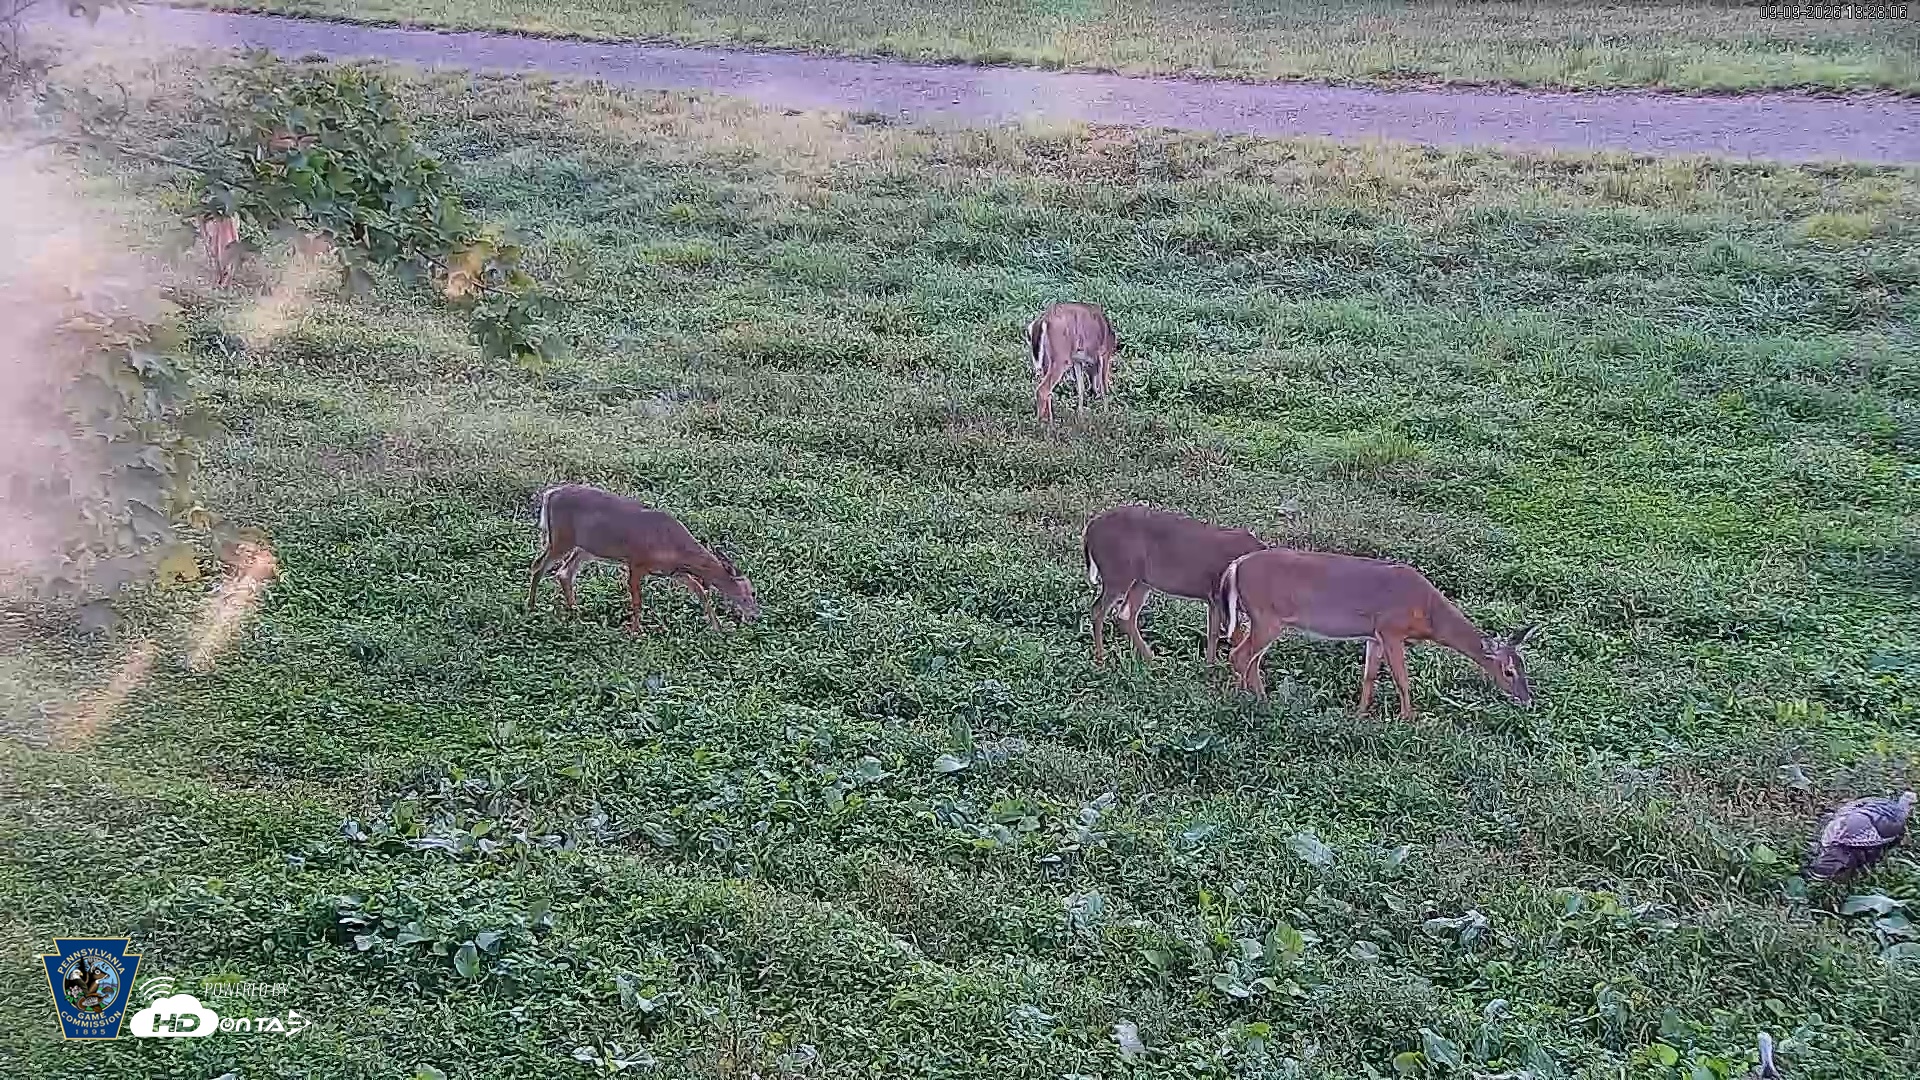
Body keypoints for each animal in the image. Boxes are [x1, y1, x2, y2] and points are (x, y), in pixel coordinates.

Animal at [526, 484, 760, 633]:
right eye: (750, 593)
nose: (755, 615)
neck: (674, 545)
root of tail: (549, 495)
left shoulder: (674, 571)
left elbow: (700, 591)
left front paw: (717, 627)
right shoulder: (636, 563)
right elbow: (638, 600)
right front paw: (636, 632)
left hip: (585, 547)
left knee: (564, 573)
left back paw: (575, 612)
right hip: (561, 538)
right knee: (538, 566)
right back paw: (531, 607)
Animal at [1083, 503, 1266, 665]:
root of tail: (1089, 529)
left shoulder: (1213, 599)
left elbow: (1214, 633)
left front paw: (1210, 668)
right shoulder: (1219, 596)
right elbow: (1235, 637)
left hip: (1141, 580)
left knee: (1124, 616)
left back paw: (1151, 659)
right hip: (1117, 573)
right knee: (1098, 610)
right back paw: (1101, 660)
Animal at [1217, 547, 1537, 719]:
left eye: (1524, 666)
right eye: (1508, 671)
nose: (1527, 699)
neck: (1428, 613)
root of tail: (1234, 566)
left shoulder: (1375, 635)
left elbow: (1369, 676)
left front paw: (1360, 715)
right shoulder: (1392, 629)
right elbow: (1402, 679)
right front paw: (1409, 719)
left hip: (1262, 619)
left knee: (1251, 658)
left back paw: (1261, 699)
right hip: (1266, 616)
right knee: (1240, 655)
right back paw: (1245, 701)